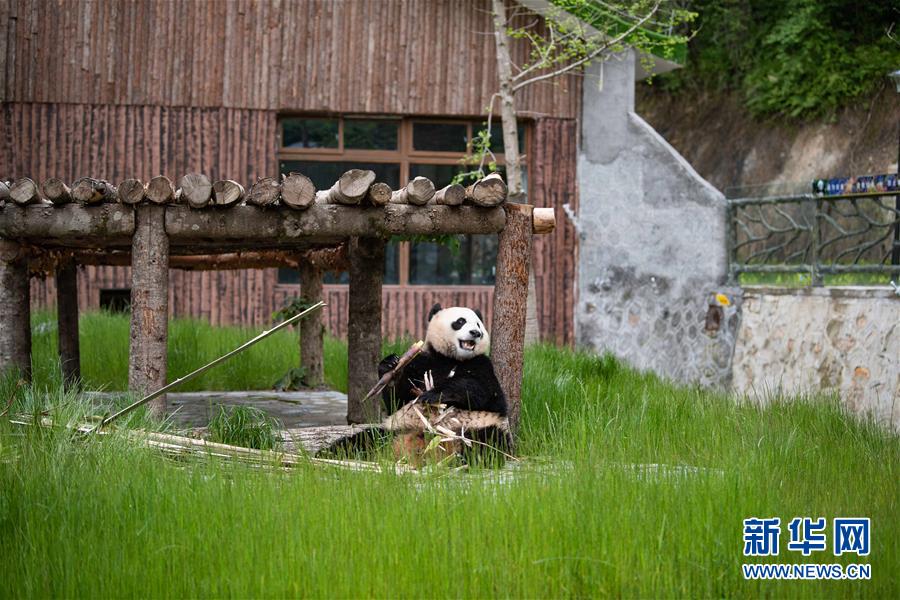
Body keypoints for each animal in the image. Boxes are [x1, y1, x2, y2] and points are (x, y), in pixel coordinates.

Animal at [378, 302, 512, 466]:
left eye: (478, 324)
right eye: (460, 321)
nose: (476, 333)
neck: (451, 358)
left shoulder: (482, 365)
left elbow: (482, 391)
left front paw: (433, 395)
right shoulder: (421, 362)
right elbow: (396, 400)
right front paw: (390, 365)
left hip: (481, 425)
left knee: (488, 441)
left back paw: (466, 459)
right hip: (396, 429)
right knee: (370, 438)